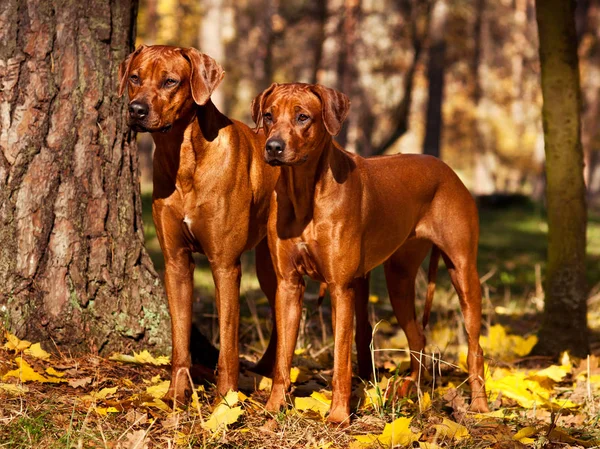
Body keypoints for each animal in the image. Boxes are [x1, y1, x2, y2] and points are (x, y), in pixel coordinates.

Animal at [119, 44, 282, 402]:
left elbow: (228, 344)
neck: (185, 157)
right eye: (135, 77)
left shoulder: (225, 265)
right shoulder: (175, 261)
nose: (136, 110)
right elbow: (180, 339)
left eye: (170, 81)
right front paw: (176, 394)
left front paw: (226, 401)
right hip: (270, 265)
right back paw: (266, 370)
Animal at [251, 83, 490, 424]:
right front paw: (273, 409)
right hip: (399, 278)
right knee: (418, 337)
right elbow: (283, 358)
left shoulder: (340, 288)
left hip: (464, 272)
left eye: (302, 117)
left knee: (474, 346)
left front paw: (338, 415)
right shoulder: (287, 285)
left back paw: (480, 406)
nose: (273, 147)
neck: (304, 191)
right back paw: (410, 391)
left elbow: (341, 359)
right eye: (269, 115)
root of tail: (446, 168)